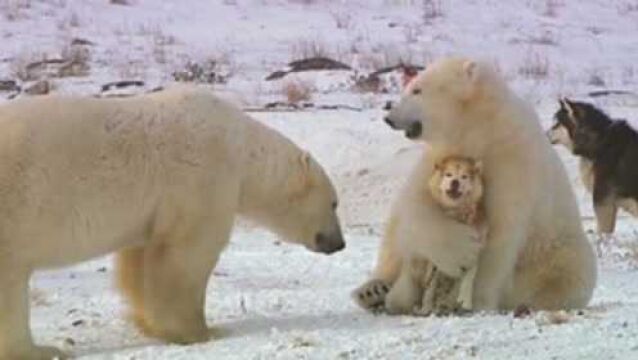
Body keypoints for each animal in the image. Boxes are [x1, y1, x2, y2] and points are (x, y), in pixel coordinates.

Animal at [0, 87, 344, 360]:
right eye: (334, 203)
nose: (339, 243)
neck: (241, 146)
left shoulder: (152, 209)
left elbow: (140, 258)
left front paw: (149, 323)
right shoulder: (204, 176)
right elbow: (186, 256)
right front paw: (201, 330)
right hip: (15, 209)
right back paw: (40, 350)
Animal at [356, 57, 600, 314]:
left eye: (417, 90)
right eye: (411, 86)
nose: (389, 117)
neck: (481, 128)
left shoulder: (512, 163)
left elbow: (501, 234)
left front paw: (479, 300)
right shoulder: (443, 152)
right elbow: (415, 203)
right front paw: (461, 252)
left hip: (559, 249)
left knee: (571, 271)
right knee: (394, 237)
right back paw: (373, 290)